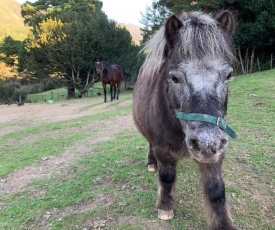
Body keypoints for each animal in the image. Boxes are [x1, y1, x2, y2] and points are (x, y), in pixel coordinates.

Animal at [133, 10, 238, 228]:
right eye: (174, 78)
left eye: (228, 75)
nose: (206, 143)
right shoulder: (162, 149)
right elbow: (166, 177)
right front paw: (165, 207)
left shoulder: (218, 151)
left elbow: (216, 189)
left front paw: (223, 223)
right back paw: (151, 163)